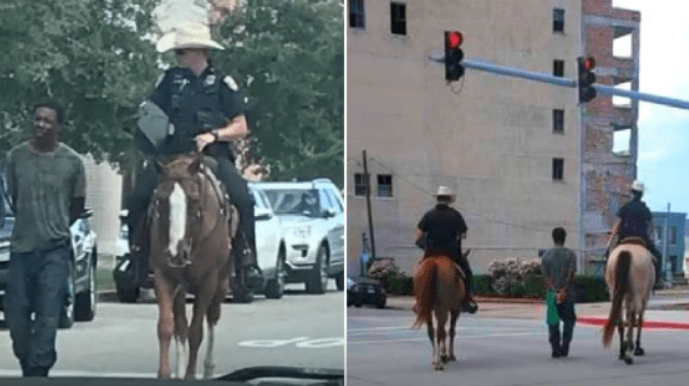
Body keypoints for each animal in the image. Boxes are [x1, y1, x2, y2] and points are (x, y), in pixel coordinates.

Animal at [149, 152, 238, 378]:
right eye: (160, 200)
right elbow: (166, 327)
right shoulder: (164, 276)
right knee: (181, 326)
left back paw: (208, 368)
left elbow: (196, 332)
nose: (176, 253)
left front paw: (190, 375)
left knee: (212, 317)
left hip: (222, 283)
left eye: (194, 199)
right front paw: (166, 374)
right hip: (181, 287)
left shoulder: (208, 280)